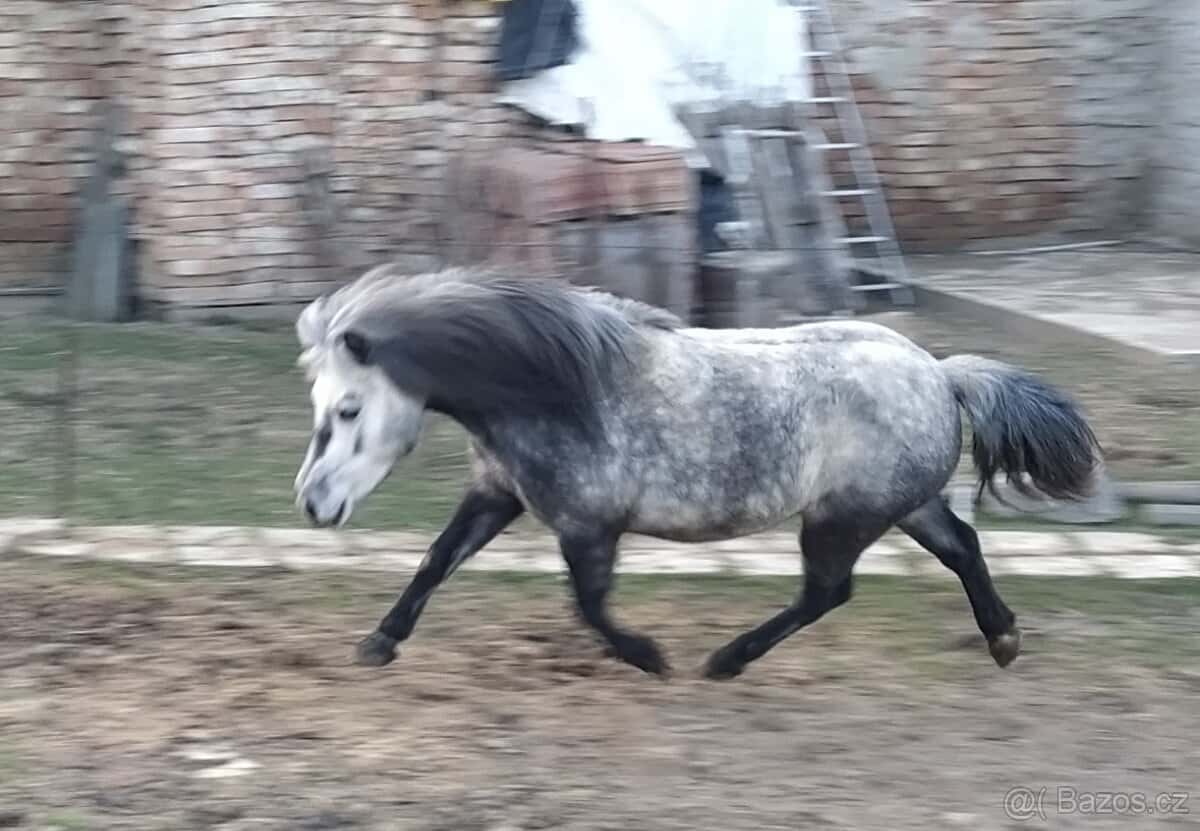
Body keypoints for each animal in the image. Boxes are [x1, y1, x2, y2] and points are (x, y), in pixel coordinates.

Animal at [293, 264, 1100, 680]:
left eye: (349, 410)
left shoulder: (587, 526)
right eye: (319, 406)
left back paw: (726, 659)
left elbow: (589, 605)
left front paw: (650, 657)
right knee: (961, 545)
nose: (312, 506)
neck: (551, 387)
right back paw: (1002, 639)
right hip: (902, 505)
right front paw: (379, 643)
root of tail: (941, 374)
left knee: (827, 591)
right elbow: (436, 561)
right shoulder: (496, 494)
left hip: (841, 519)